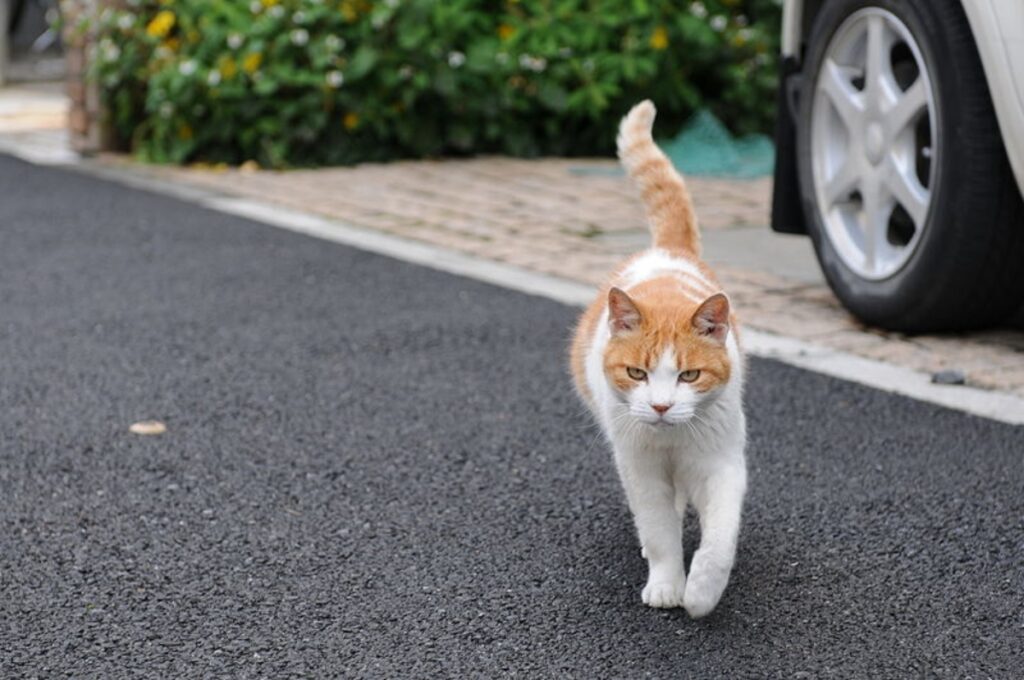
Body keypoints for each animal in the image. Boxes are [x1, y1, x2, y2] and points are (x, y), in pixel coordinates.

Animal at [569, 99, 745, 614]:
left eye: (689, 375)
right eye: (636, 373)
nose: (662, 406)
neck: (672, 442)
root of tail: (668, 251)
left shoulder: (722, 464)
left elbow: (720, 536)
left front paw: (702, 592)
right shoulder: (640, 470)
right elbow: (660, 530)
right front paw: (668, 584)